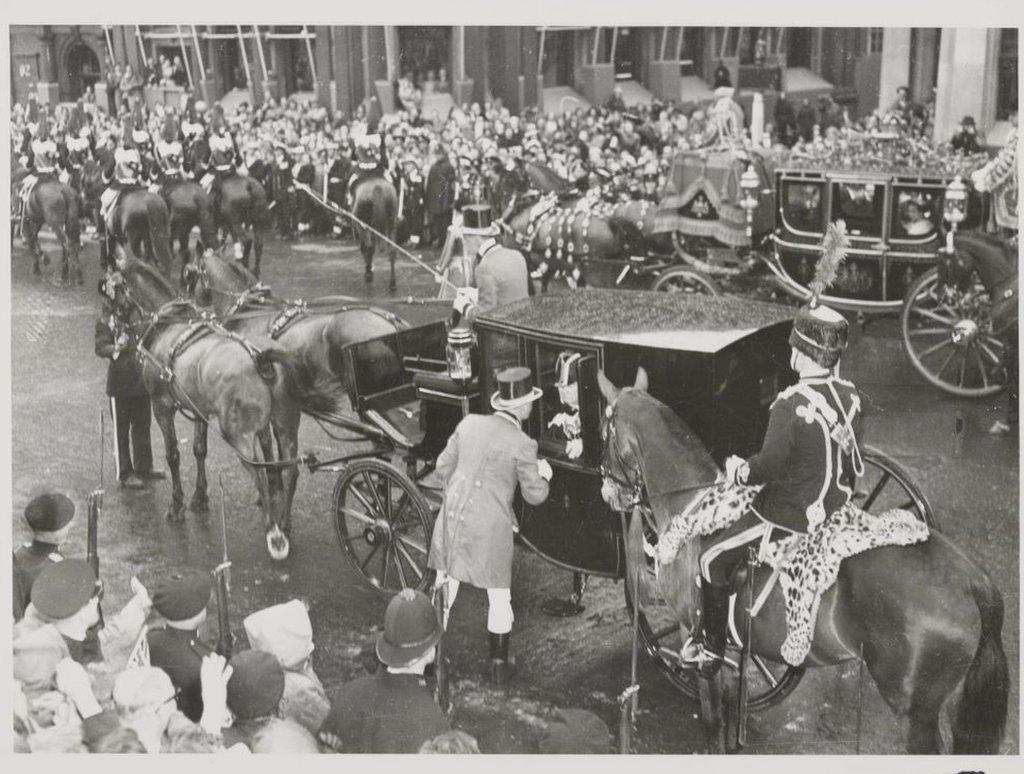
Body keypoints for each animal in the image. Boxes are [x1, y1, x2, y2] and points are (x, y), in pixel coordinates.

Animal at [111, 256, 305, 561]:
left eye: (112, 293)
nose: (114, 327)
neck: (169, 327)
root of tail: (261, 358)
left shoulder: (161, 407)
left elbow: (173, 455)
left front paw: (177, 505)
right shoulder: (199, 408)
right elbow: (199, 450)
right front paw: (199, 498)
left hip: (238, 433)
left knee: (260, 473)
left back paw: (274, 532)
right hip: (285, 426)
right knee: (291, 469)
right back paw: (284, 522)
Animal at [598, 366, 1007, 753]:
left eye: (603, 430)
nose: (608, 492)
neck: (692, 504)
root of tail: (972, 579)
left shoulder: (692, 630)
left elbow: (712, 719)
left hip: (916, 715)